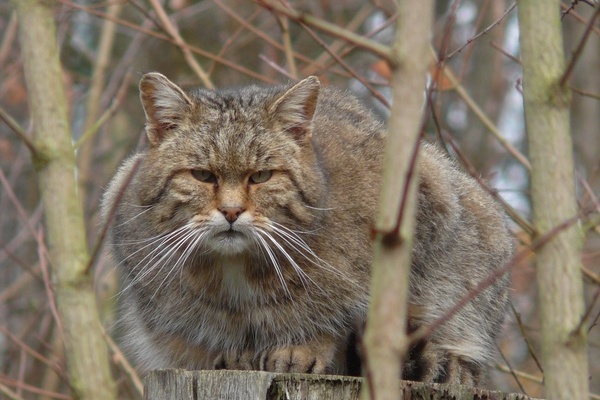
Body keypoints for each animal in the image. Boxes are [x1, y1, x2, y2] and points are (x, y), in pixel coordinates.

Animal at [101, 72, 512, 388]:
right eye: (202, 175)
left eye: (262, 176)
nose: (231, 211)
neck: (239, 269)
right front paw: (237, 350)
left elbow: (338, 319)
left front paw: (304, 346)